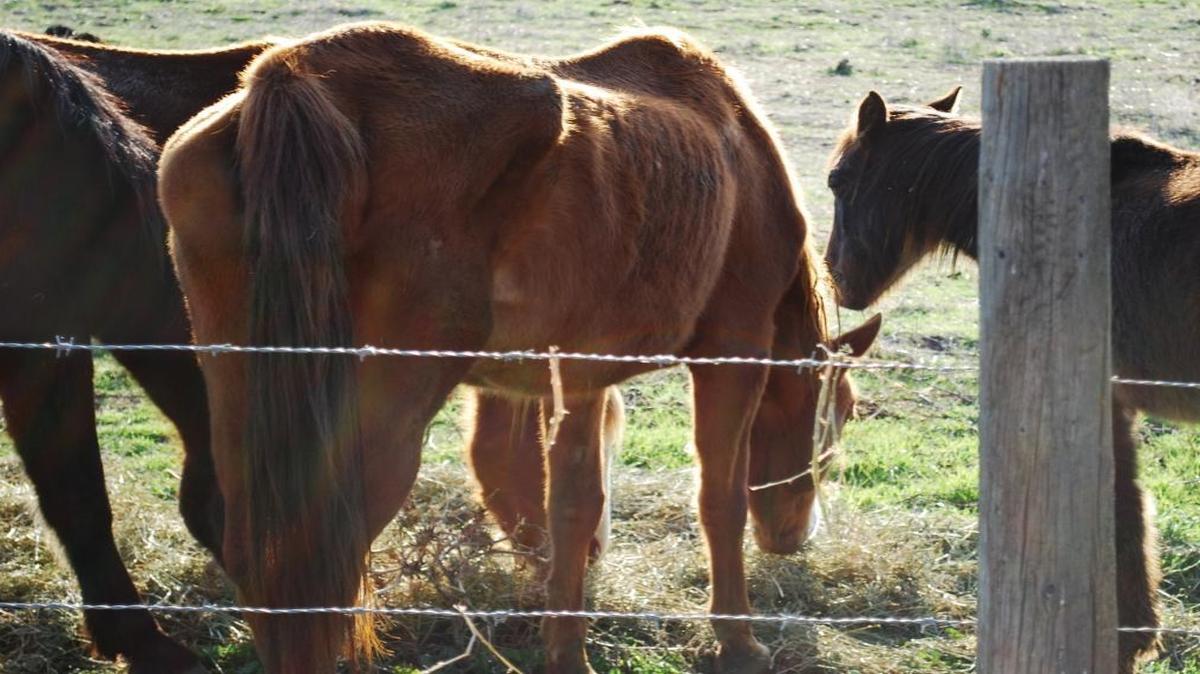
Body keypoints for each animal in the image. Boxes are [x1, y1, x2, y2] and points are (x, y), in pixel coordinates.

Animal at [160, 22, 880, 674]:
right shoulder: (735, 349)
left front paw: (562, 642)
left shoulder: (568, 377)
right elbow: (718, 498)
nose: (792, 535)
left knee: (257, 548)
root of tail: (290, 78)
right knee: (313, 555)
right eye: (839, 414)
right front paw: (738, 640)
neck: (732, 145)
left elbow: (556, 503)